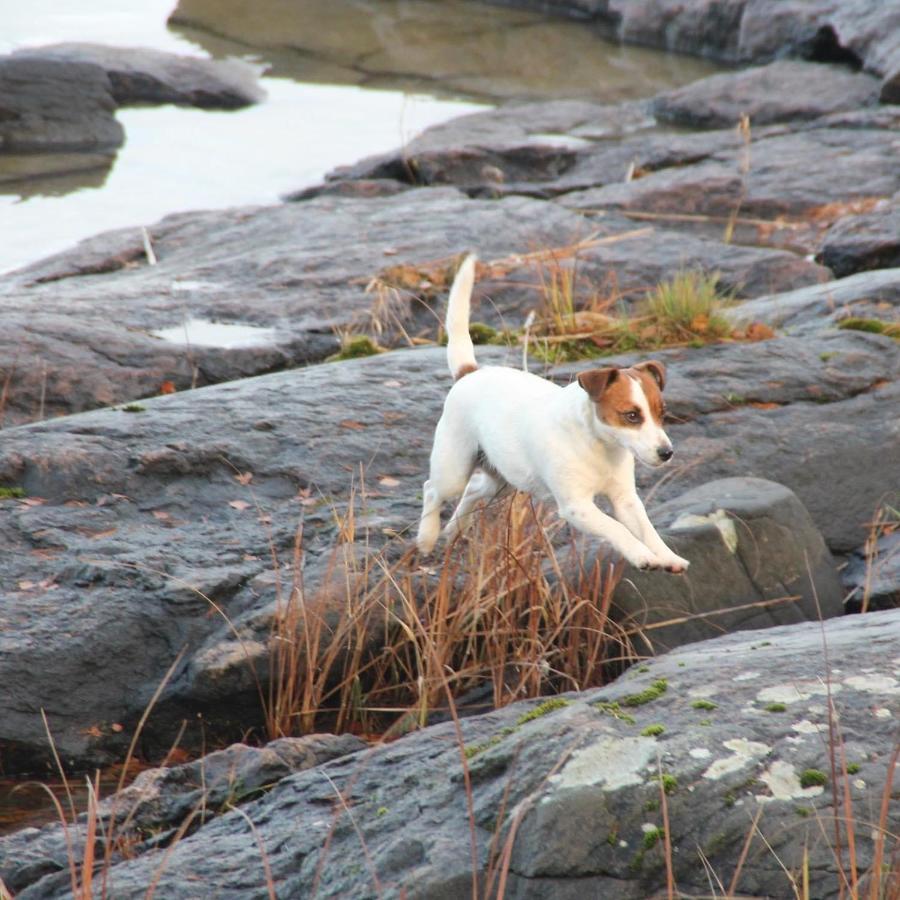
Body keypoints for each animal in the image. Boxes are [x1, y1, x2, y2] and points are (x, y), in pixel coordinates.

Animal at [414, 253, 688, 576]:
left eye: (662, 413)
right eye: (631, 415)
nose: (667, 453)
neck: (598, 445)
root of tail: (470, 373)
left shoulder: (625, 501)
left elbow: (647, 529)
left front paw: (667, 556)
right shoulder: (577, 506)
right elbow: (616, 529)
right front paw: (642, 555)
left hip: (503, 479)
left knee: (473, 490)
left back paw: (456, 528)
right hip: (454, 468)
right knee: (433, 489)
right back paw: (427, 537)